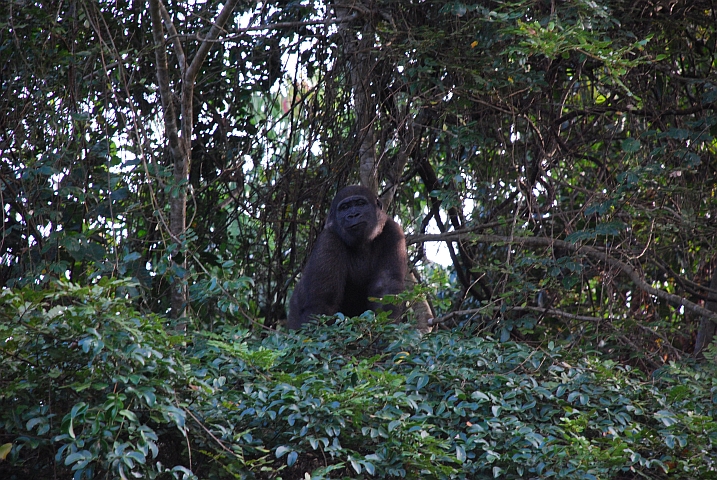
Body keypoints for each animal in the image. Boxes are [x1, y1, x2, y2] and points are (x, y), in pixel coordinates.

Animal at [288, 185, 407, 329]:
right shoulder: (329, 238)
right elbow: (323, 300)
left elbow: (385, 288)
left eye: (360, 203)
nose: (353, 215)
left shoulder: (393, 231)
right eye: (344, 208)